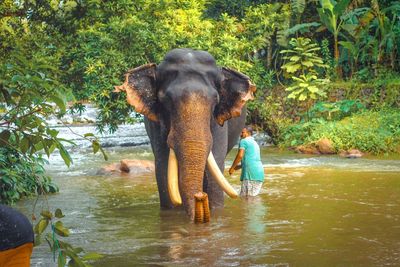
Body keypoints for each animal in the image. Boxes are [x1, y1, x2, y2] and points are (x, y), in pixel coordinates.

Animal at [114, 49, 255, 221]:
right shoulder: (157, 125)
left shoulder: (218, 123)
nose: (200, 197)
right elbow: (163, 169)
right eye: (165, 100)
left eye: (216, 100)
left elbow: (215, 171)